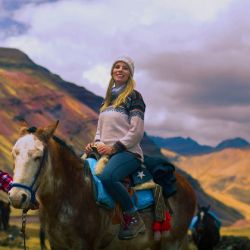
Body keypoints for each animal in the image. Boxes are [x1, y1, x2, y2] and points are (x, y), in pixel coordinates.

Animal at [8, 120, 196, 248]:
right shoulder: (57, 245)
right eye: (14, 153)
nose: (17, 197)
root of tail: (186, 186)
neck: (72, 191)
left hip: (171, 243)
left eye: (38, 156)